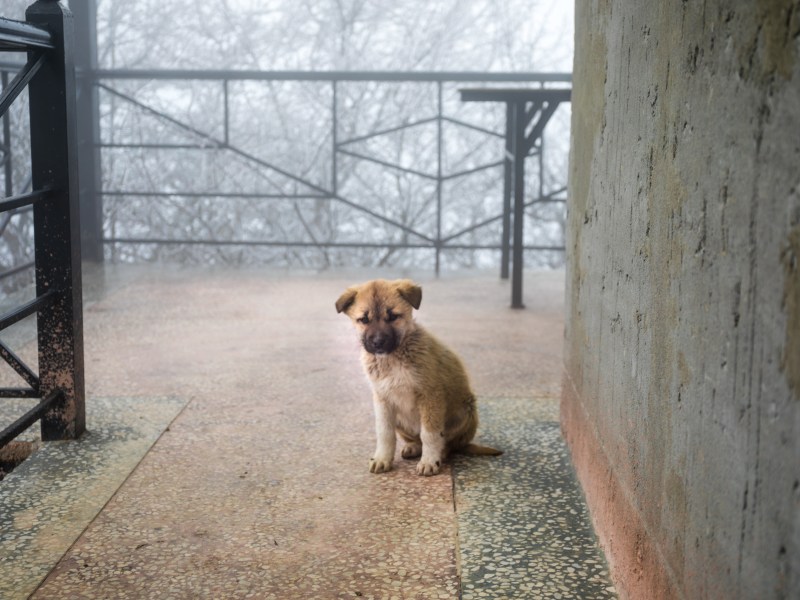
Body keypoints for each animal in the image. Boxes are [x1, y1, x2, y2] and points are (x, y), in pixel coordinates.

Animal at [336, 278, 500, 478]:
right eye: (364, 320)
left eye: (393, 316)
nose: (378, 342)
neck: (392, 359)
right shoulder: (382, 398)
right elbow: (384, 433)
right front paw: (382, 458)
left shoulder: (430, 395)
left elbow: (430, 434)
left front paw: (429, 461)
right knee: (415, 439)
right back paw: (413, 447)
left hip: (466, 410)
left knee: (450, 443)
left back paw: (441, 453)